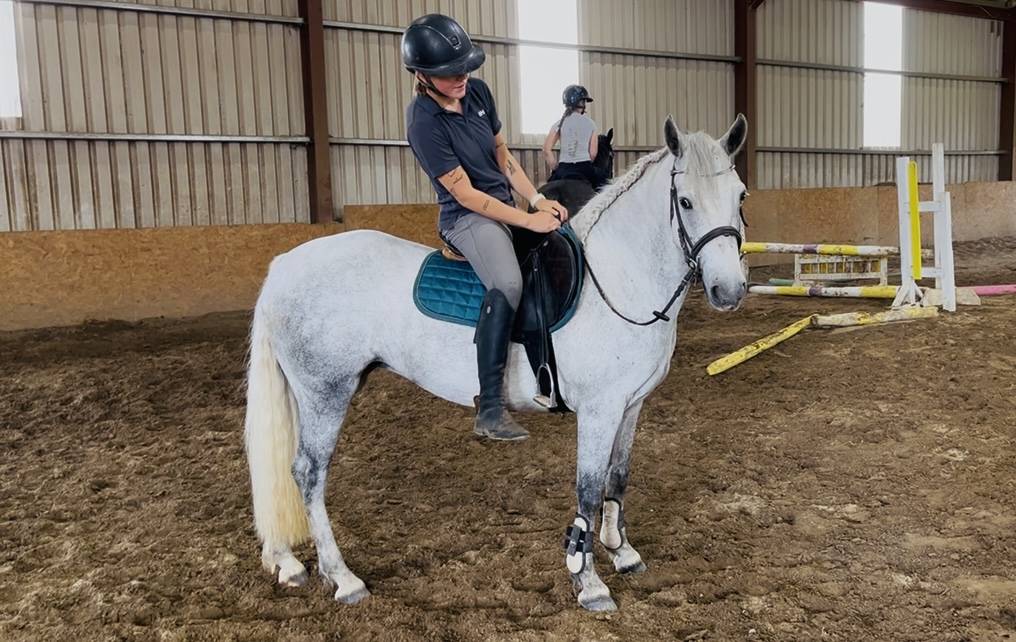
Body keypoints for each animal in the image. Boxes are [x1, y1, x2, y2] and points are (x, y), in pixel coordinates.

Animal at [244, 114, 750, 612]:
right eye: (684, 201)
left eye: (741, 195)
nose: (728, 290)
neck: (616, 278)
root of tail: (284, 264)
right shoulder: (599, 410)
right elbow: (587, 490)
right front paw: (588, 582)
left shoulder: (630, 405)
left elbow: (618, 476)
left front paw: (622, 551)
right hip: (325, 391)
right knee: (309, 473)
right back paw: (343, 577)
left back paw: (287, 562)